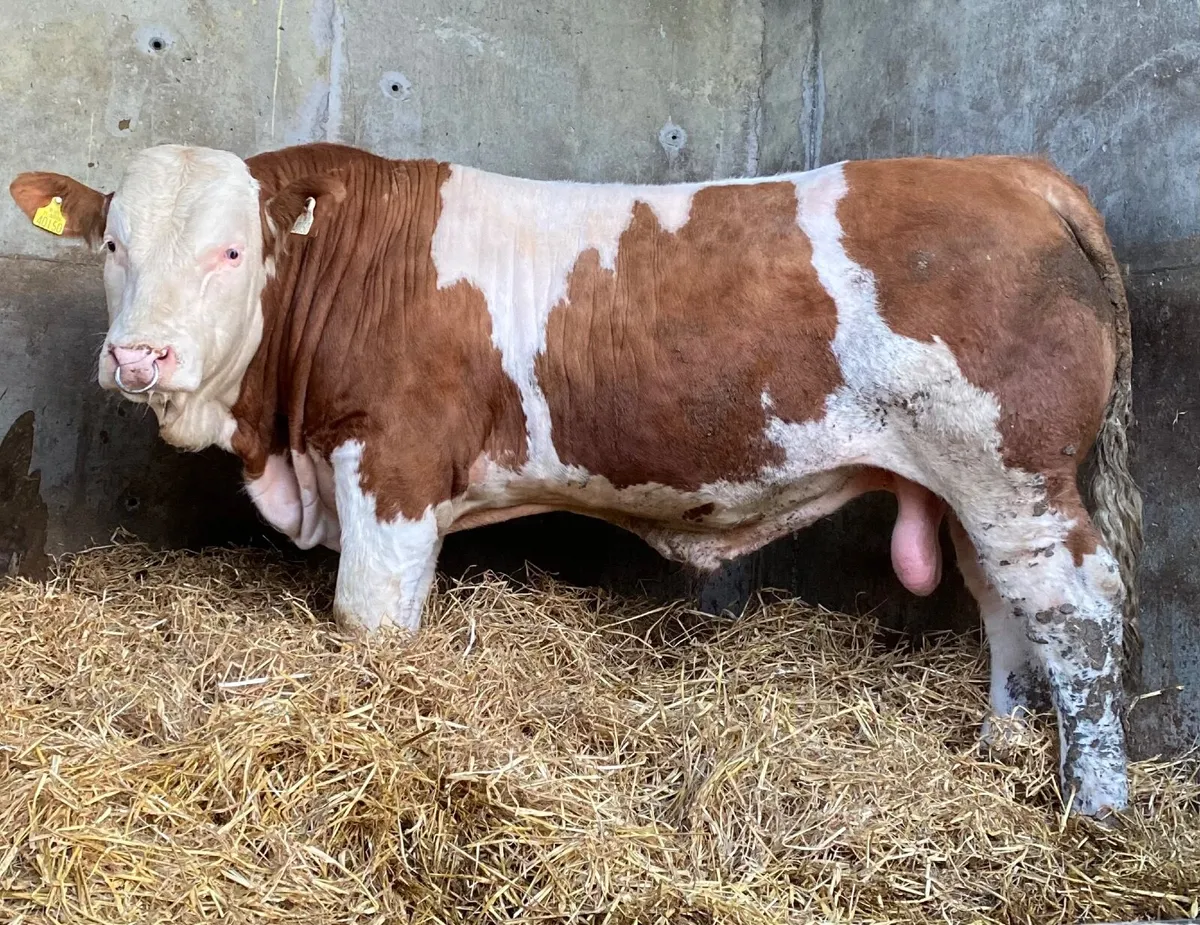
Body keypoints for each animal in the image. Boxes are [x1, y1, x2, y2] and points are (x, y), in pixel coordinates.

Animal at [10, 142, 1142, 818]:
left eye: (233, 251)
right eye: (113, 243)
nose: (139, 356)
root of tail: (1012, 172)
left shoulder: (393, 469)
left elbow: (371, 624)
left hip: (1014, 471)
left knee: (1078, 606)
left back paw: (1094, 803)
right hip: (977, 486)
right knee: (1004, 603)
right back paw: (999, 747)